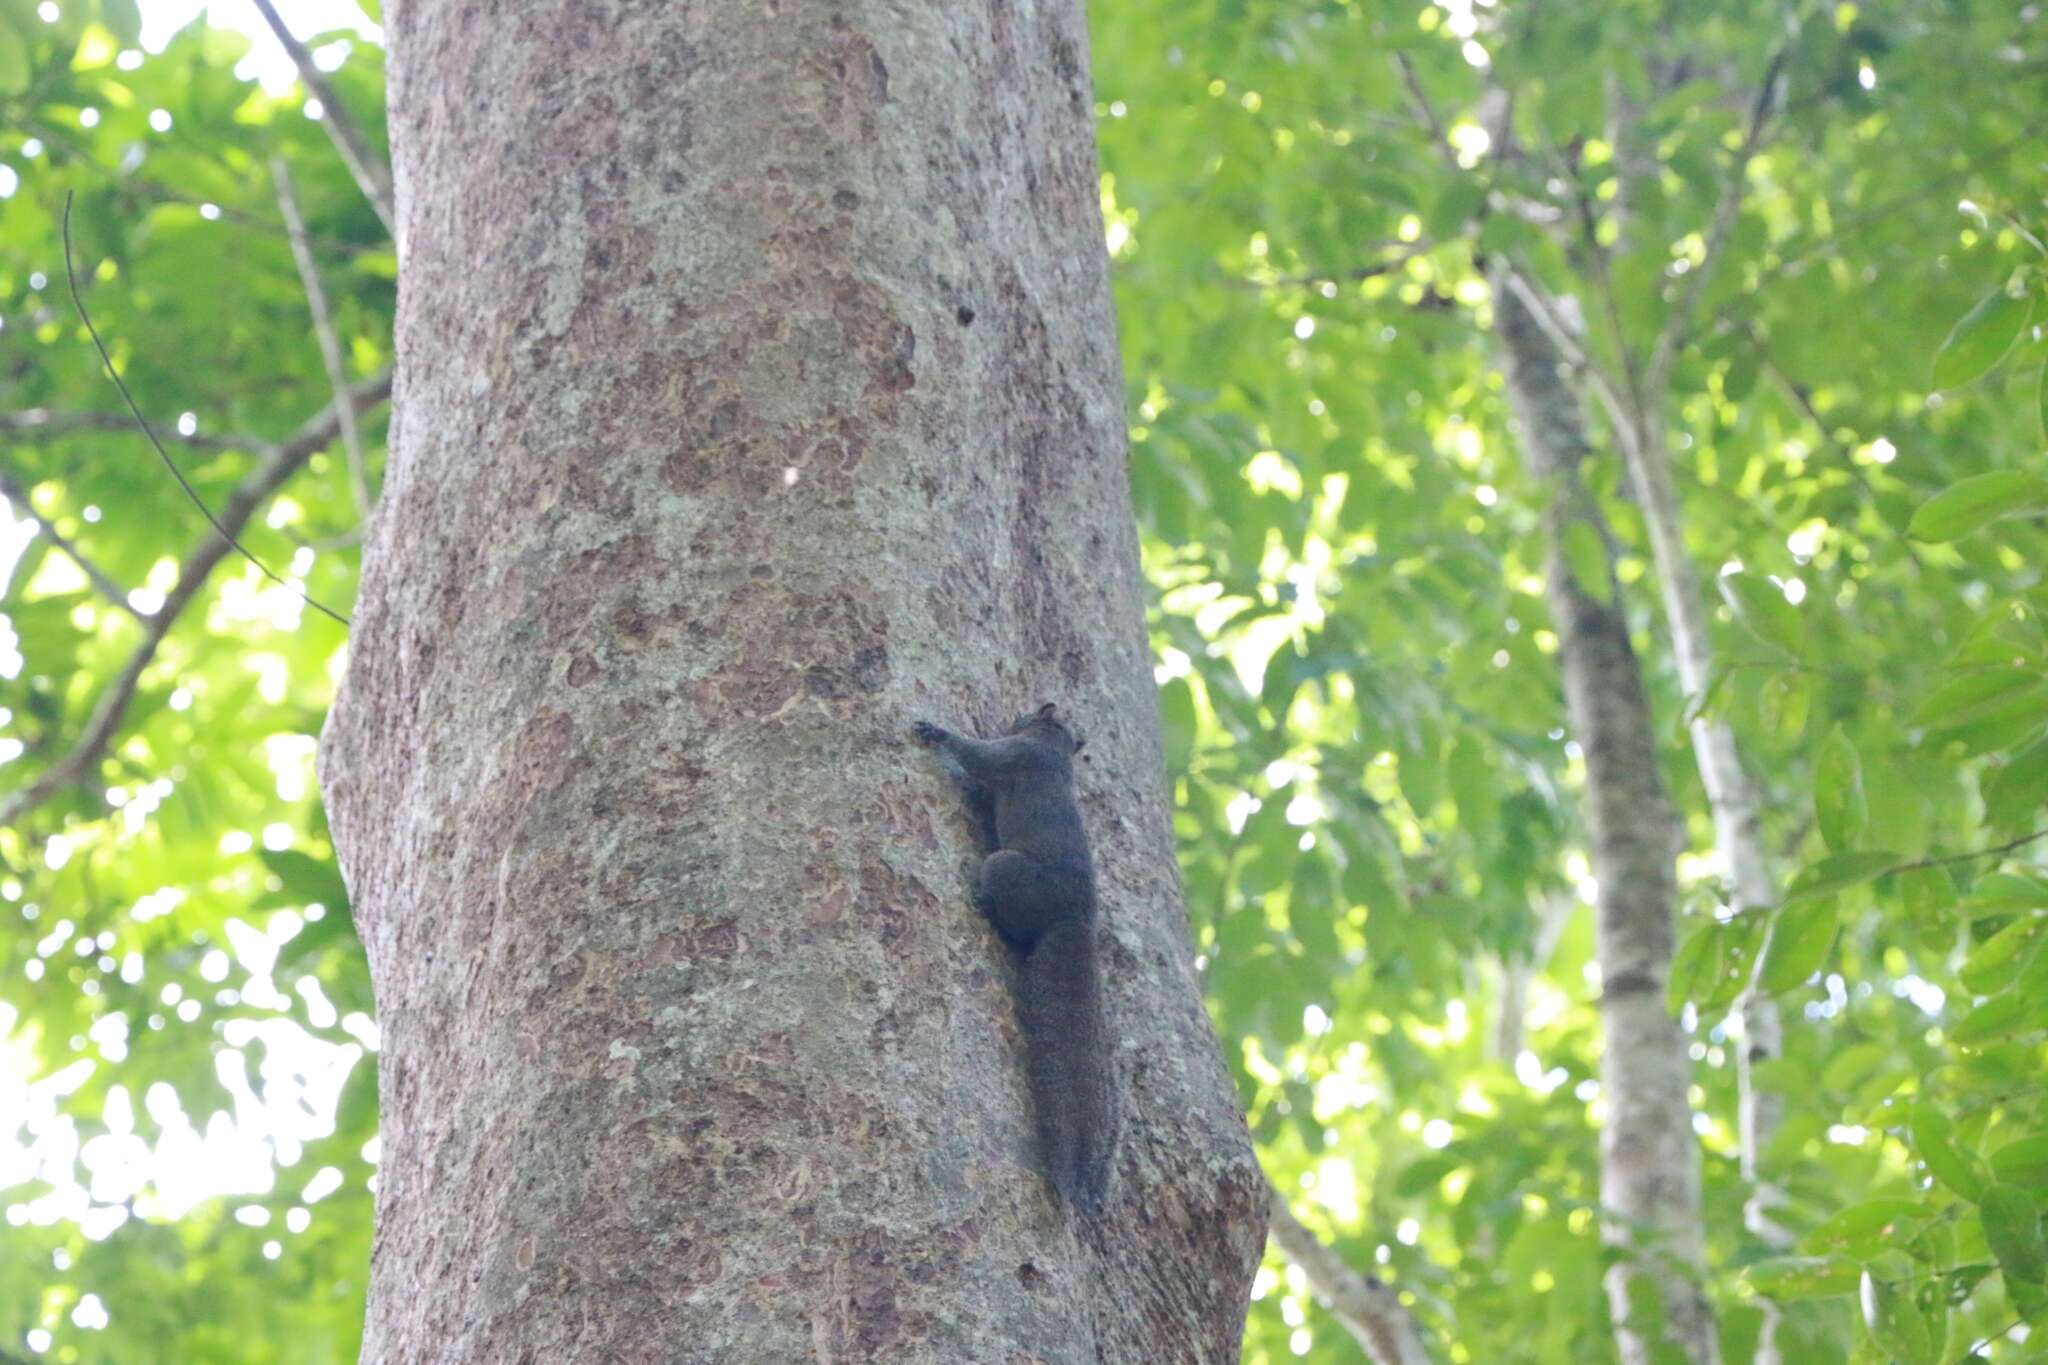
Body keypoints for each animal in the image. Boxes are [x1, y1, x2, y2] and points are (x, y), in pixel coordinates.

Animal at [917, 703, 1122, 1219]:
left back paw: (987, 909)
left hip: (1007, 868)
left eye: (1031, 713)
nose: (1023, 711)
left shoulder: (1014, 755)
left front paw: (937, 733)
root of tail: (1073, 920)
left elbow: (977, 756)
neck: (1054, 750)